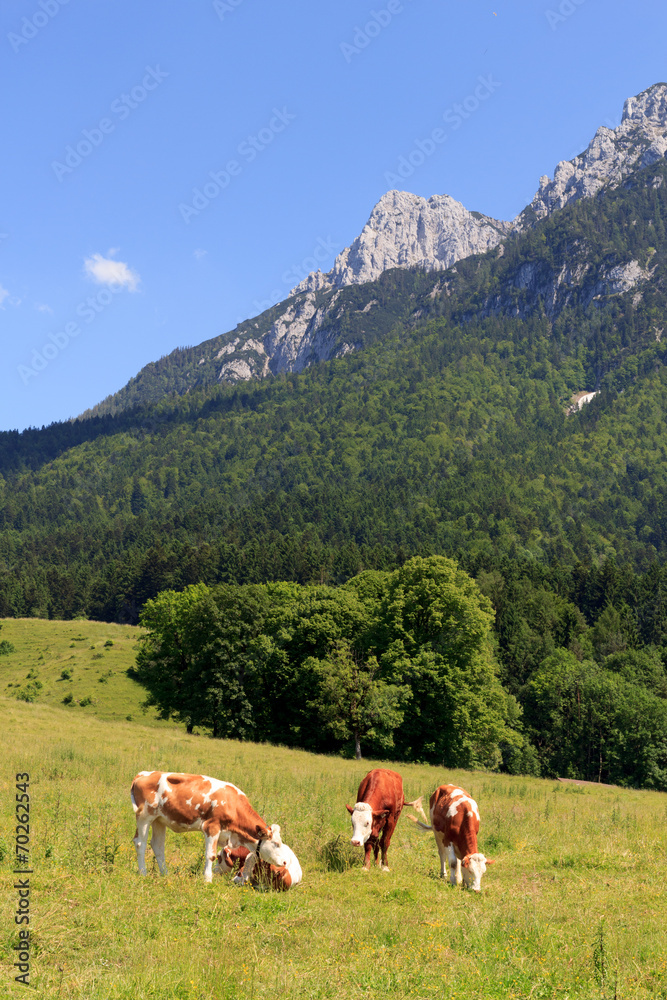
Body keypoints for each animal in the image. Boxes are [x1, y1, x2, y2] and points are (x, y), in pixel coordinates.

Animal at [130, 772, 288, 884]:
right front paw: (207, 879)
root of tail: (144, 774)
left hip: (159, 820)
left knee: (157, 845)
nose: (285, 862)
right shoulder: (212, 827)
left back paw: (165, 873)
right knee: (140, 843)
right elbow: (210, 855)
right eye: (276, 843)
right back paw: (143, 872)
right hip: (144, 816)